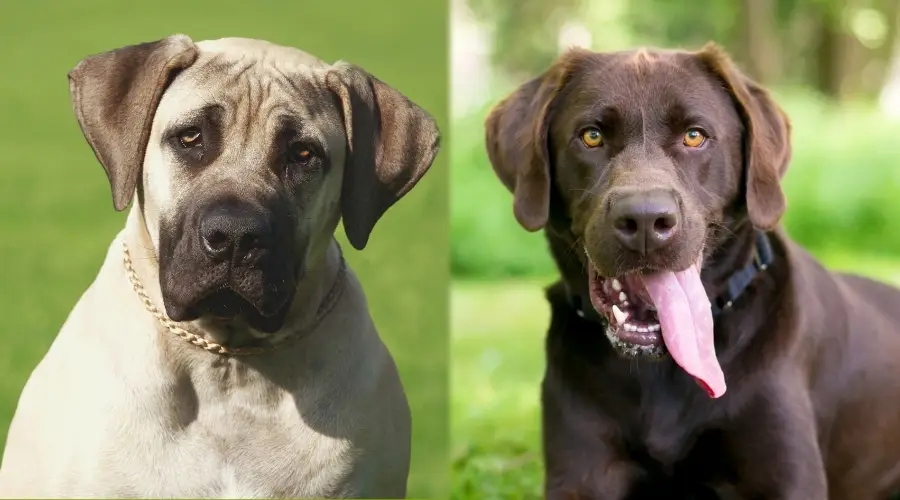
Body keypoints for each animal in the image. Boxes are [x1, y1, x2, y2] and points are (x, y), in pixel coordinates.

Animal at [486, 44, 900, 500]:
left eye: (694, 135)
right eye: (592, 136)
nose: (645, 220)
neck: (662, 367)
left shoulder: (786, 475)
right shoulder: (582, 474)